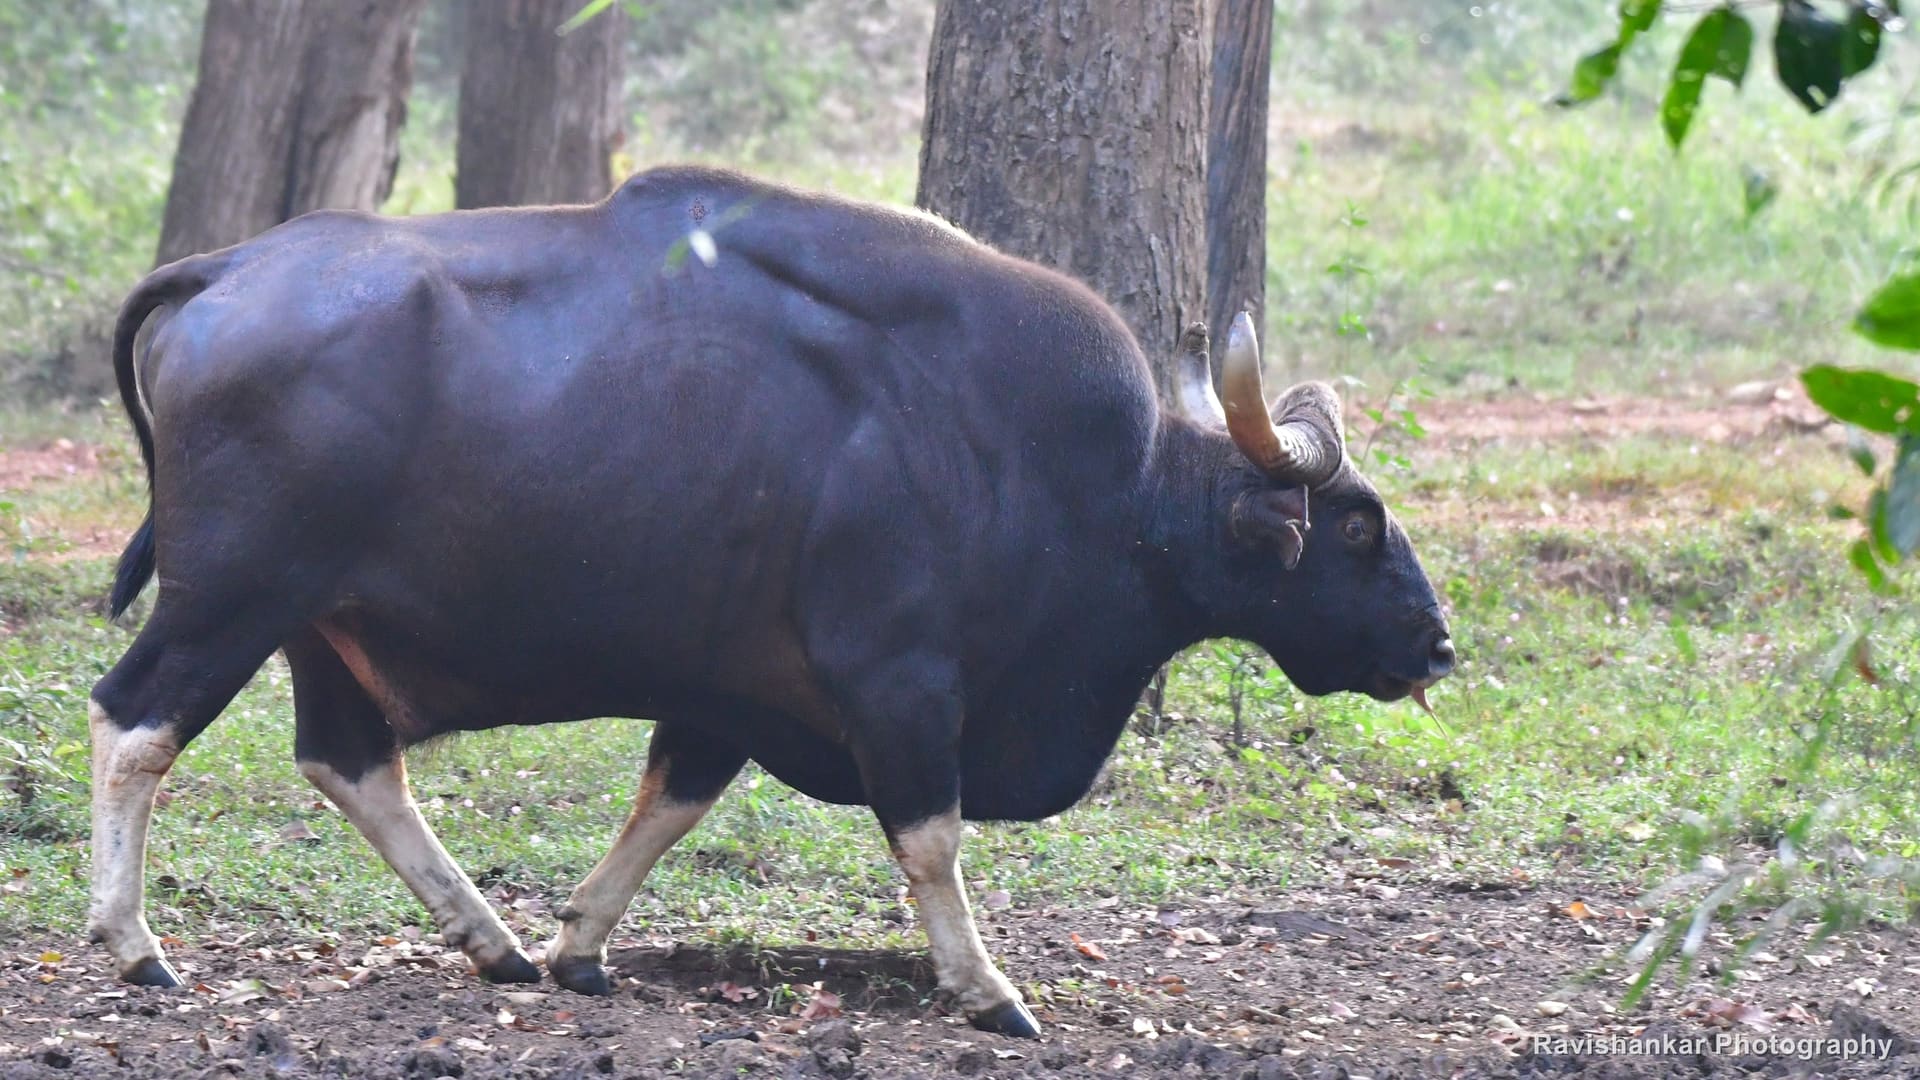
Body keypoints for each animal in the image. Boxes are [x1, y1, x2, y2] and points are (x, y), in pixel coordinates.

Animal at [86, 166, 1452, 1037]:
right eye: (1356, 522)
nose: (1437, 643)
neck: (1060, 470)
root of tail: (222, 270)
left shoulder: (726, 688)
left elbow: (669, 803)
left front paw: (579, 945)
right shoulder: (899, 681)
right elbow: (931, 837)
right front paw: (988, 991)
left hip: (320, 625)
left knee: (350, 760)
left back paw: (492, 938)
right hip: (232, 598)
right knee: (132, 719)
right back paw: (134, 946)